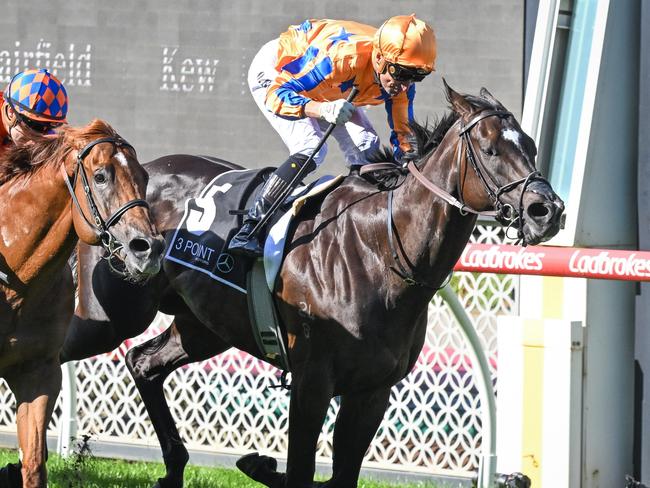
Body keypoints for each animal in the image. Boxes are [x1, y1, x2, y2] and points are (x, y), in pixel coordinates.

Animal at [58, 82, 560, 486]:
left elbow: (342, 477)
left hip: (204, 326)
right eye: (491, 150)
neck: (381, 250)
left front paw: (258, 465)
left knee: (144, 362)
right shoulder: (311, 383)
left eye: (532, 147)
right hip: (111, 315)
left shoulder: (371, 392)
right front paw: (263, 465)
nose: (547, 211)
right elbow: (300, 472)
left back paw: (174, 468)